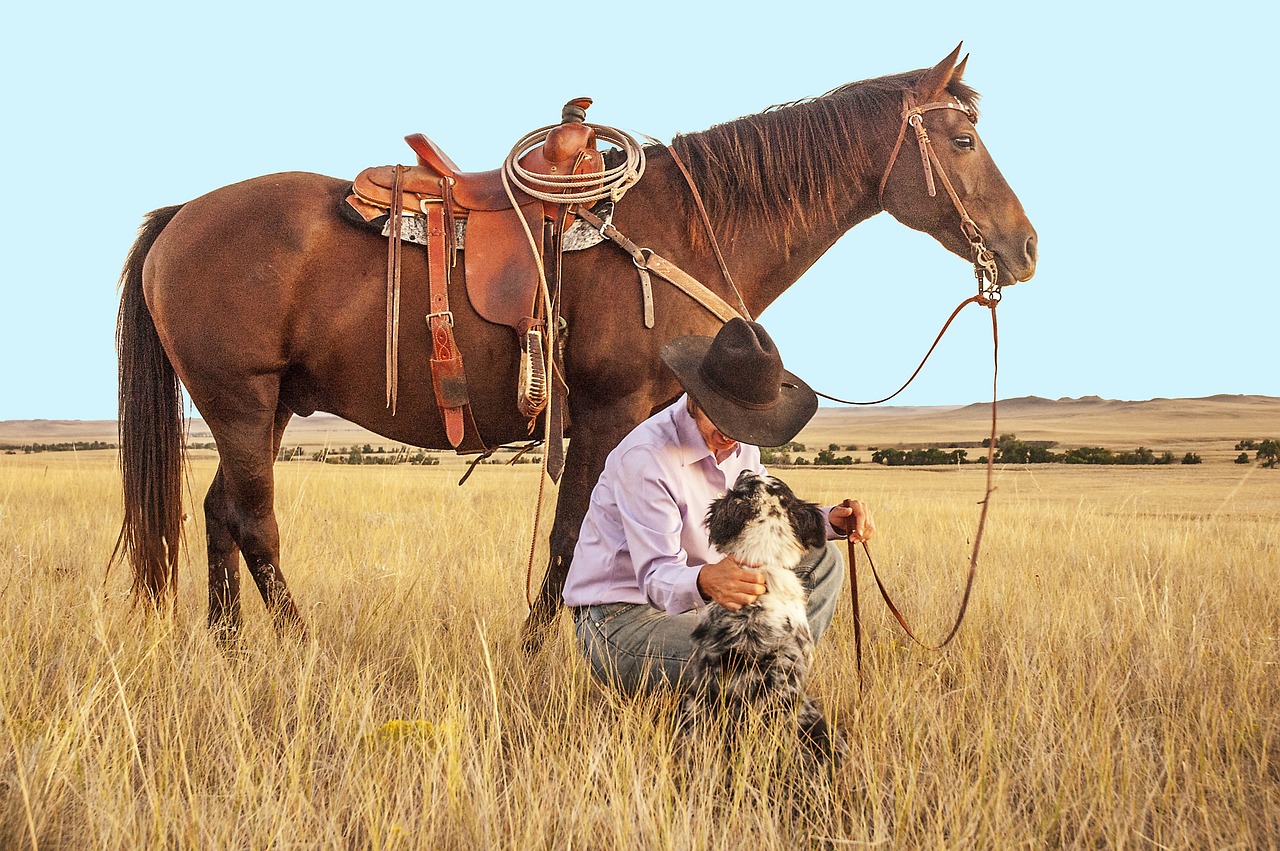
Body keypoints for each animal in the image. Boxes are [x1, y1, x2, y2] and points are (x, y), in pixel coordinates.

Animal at [115, 44, 1039, 644]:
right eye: (962, 140)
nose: (1026, 247)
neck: (683, 227)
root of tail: (182, 216)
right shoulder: (604, 409)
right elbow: (570, 535)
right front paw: (537, 651)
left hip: (263, 409)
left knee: (220, 513)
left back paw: (230, 648)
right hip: (240, 401)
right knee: (256, 523)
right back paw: (297, 644)